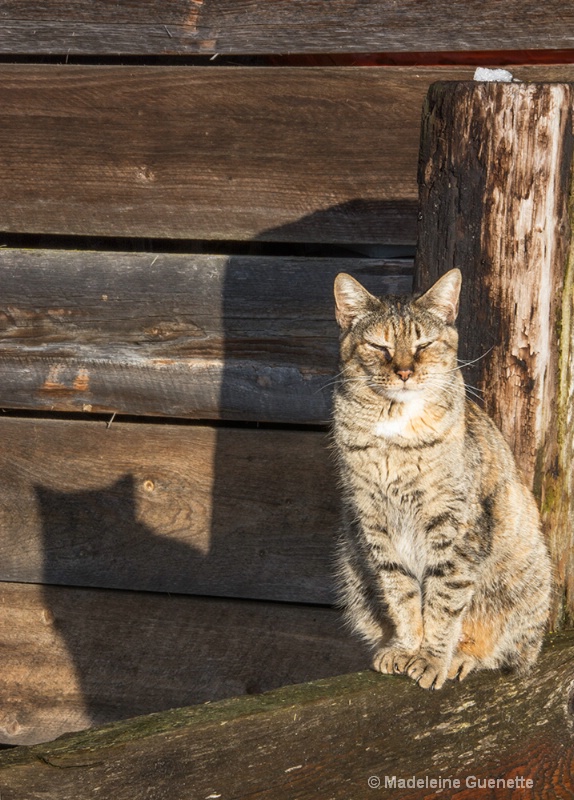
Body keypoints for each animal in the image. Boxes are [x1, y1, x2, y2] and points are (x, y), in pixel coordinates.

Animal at [332, 268, 552, 688]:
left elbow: (444, 599)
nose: (404, 371)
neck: (396, 430)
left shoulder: (454, 527)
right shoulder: (374, 523)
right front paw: (406, 647)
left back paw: (462, 656)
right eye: (380, 346)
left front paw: (433, 658)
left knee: (506, 647)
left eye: (424, 344)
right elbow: (400, 593)